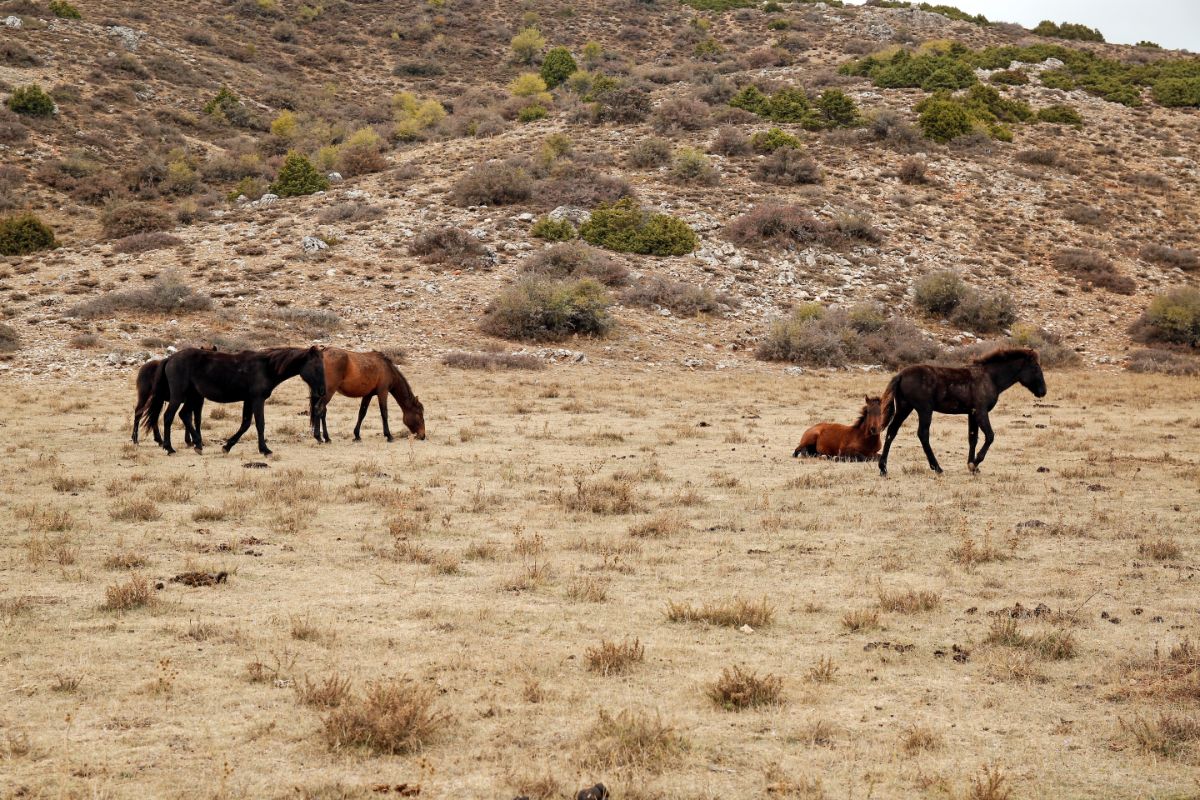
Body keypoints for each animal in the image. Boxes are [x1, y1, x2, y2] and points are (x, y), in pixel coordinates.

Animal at [150, 346, 326, 456]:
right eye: (317, 367)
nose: (322, 391)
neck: (266, 367)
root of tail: (170, 358)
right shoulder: (257, 400)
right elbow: (260, 424)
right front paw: (265, 450)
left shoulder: (248, 400)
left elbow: (245, 424)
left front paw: (227, 446)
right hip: (179, 396)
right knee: (169, 416)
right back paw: (169, 448)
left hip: (193, 396)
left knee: (184, 415)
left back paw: (198, 445)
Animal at [877, 347, 1046, 476]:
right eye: (1035, 368)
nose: (1043, 391)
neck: (989, 377)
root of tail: (900, 375)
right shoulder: (981, 412)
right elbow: (990, 436)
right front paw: (974, 464)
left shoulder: (972, 414)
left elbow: (973, 438)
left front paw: (972, 466)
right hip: (924, 410)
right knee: (922, 434)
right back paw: (937, 467)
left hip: (905, 408)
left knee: (892, 431)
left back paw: (883, 468)